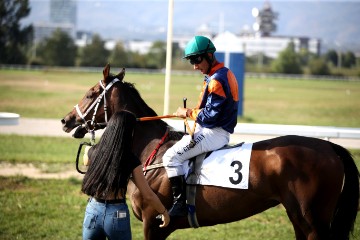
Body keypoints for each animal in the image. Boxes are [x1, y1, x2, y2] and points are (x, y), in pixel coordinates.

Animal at [60, 63, 358, 240]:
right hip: (299, 218)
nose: (66, 120)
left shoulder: (152, 223)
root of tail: (330, 146)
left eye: (90, 93)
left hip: (314, 220)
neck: (151, 151)